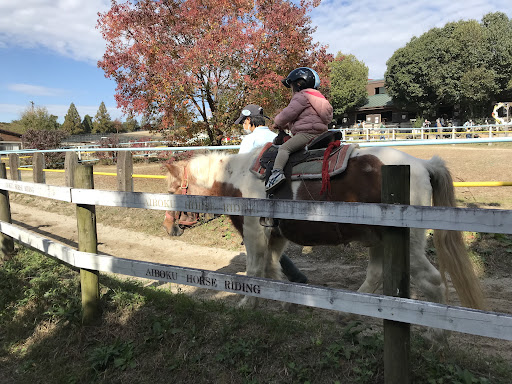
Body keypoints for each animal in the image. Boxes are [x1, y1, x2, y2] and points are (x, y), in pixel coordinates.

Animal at [164, 145, 484, 312]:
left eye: (171, 188)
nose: (169, 227)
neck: (237, 177)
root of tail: (423, 164)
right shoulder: (276, 235)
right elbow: (273, 269)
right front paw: (283, 302)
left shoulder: (255, 232)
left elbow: (255, 270)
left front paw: (245, 304)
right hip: (380, 240)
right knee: (376, 275)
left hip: (408, 245)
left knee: (434, 282)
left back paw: (438, 340)